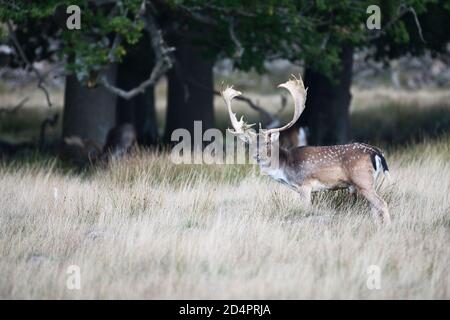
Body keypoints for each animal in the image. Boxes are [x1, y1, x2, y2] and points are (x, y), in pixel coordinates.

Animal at [221, 76, 390, 224]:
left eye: (268, 143)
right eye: (249, 144)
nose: (257, 155)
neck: (285, 170)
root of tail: (377, 152)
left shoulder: (305, 185)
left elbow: (307, 209)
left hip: (363, 180)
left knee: (382, 204)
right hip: (371, 182)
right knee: (374, 209)